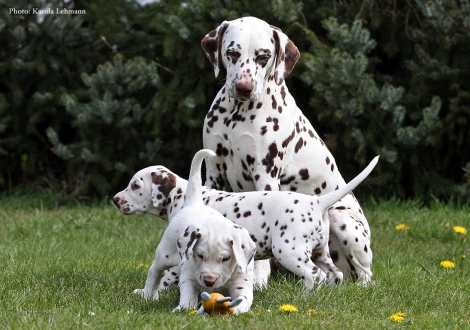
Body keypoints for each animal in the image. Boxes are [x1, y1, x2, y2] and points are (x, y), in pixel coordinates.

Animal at [131, 148, 258, 314]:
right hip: (165, 254)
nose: (209, 281)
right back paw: (148, 294)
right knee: (154, 271)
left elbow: (243, 299)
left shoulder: (242, 283)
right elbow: (188, 295)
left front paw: (236, 309)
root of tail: (194, 203)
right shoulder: (189, 277)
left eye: (226, 258)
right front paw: (183, 308)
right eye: (200, 255)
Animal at [202, 16, 374, 284]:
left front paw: (258, 280)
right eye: (232, 53)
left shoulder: (265, 174)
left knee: (365, 274)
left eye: (263, 56)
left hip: (343, 222)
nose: (243, 87)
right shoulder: (214, 173)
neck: (236, 117)